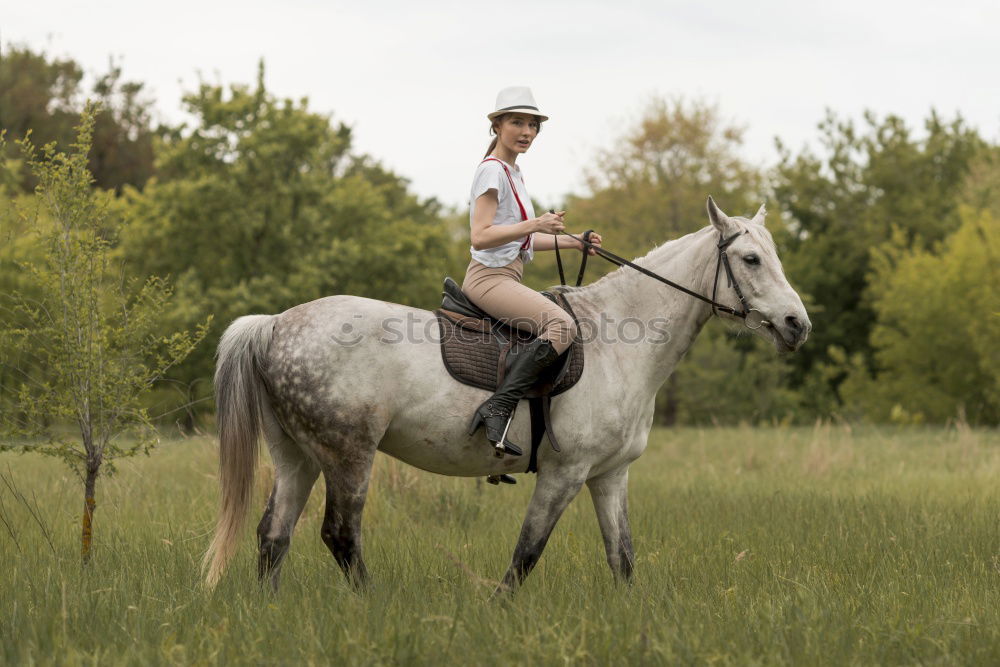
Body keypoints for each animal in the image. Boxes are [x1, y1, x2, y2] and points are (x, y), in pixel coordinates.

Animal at [203, 198, 812, 596]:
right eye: (752, 260)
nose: (797, 325)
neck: (618, 340)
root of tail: (274, 324)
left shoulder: (609, 475)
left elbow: (622, 558)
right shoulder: (565, 473)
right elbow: (527, 554)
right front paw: (498, 612)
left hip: (297, 457)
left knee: (273, 535)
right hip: (348, 455)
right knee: (339, 536)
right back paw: (371, 607)